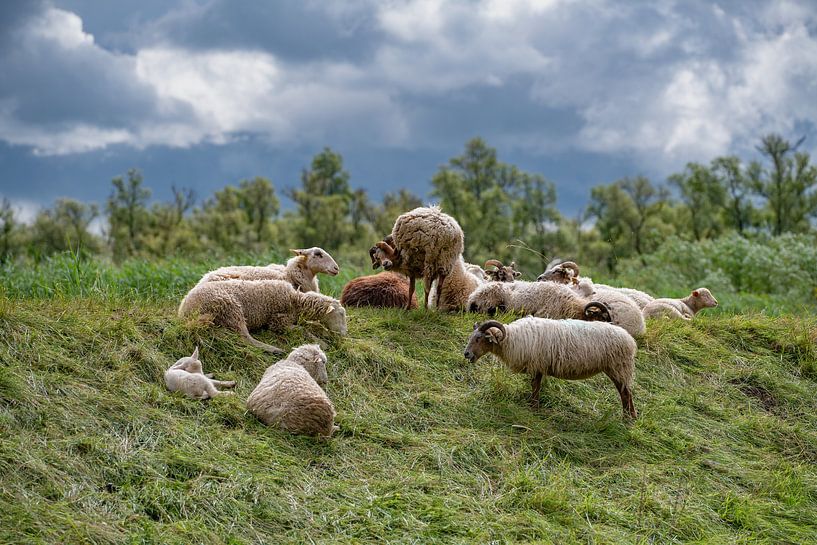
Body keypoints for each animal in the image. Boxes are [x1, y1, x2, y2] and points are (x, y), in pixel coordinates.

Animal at [178, 279, 347, 354]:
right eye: (341, 313)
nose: (344, 334)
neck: (297, 300)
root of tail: (185, 309)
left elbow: (312, 326)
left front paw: (325, 335)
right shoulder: (278, 321)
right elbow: (301, 330)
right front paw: (322, 343)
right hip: (231, 308)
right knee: (244, 337)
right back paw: (274, 349)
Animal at [463, 317, 637, 418]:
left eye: (479, 338)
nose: (466, 354)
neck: (513, 339)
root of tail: (630, 339)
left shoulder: (537, 365)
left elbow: (535, 387)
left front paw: (534, 408)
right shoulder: (538, 366)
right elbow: (536, 386)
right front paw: (534, 406)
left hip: (618, 367)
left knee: (626, 394)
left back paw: (628, 419)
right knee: (625, 393)